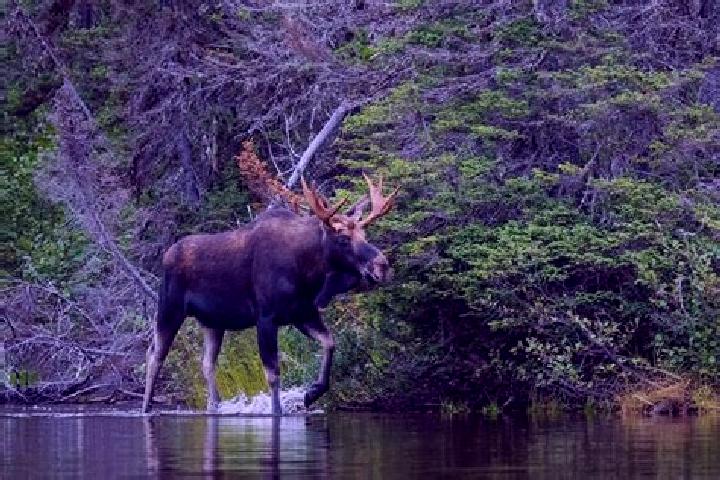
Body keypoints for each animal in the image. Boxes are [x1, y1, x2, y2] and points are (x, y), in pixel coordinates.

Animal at [142, 174, 398, 415]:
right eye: (343, 238)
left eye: (365, 235)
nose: (382, 266)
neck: (308, 273)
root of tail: (167, 254)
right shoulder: (266, 317)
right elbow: (273, 373)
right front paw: (278, 410)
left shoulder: (303, 314)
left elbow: (330, 342)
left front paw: (311, 393)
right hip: (169, 308)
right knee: (155, 356)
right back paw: (146, 407)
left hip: (213, 322)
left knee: (206, 363)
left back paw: (215, 406)